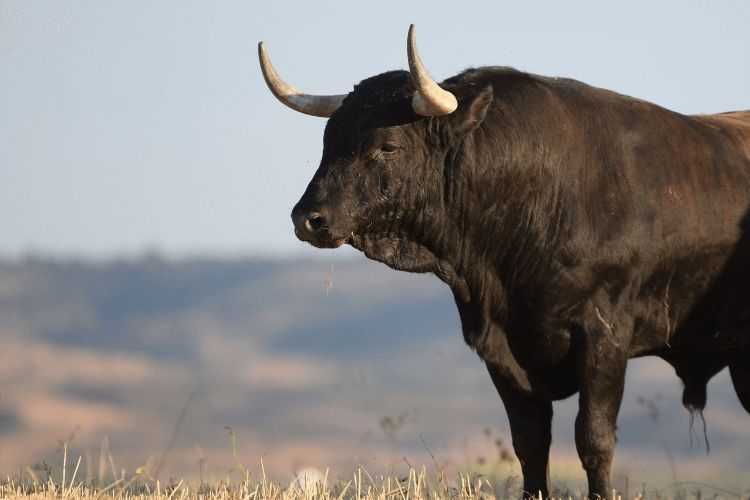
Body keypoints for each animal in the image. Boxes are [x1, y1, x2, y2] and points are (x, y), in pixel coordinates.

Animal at [258, 25, 750, 498]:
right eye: (328, 141)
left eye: (389, 145)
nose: (308, 218)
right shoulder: (500, 348)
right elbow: (530, 443)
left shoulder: (605, 334)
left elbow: (594, 439)